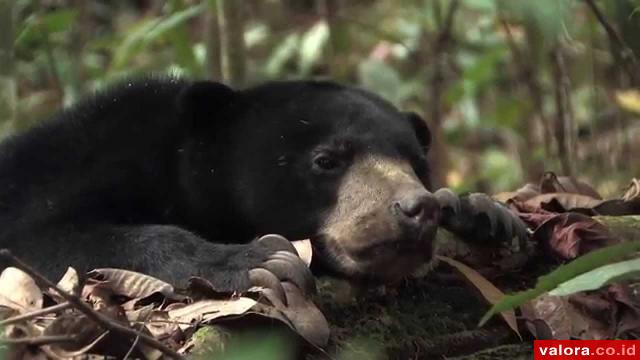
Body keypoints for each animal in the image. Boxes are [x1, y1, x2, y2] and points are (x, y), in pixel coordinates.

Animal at [0, 79, 524, 298]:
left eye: (417, 165)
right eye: (326, 160)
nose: (416, 208)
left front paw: (485, 215)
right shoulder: (68, 170)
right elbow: (46, 238)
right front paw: (261, 261)